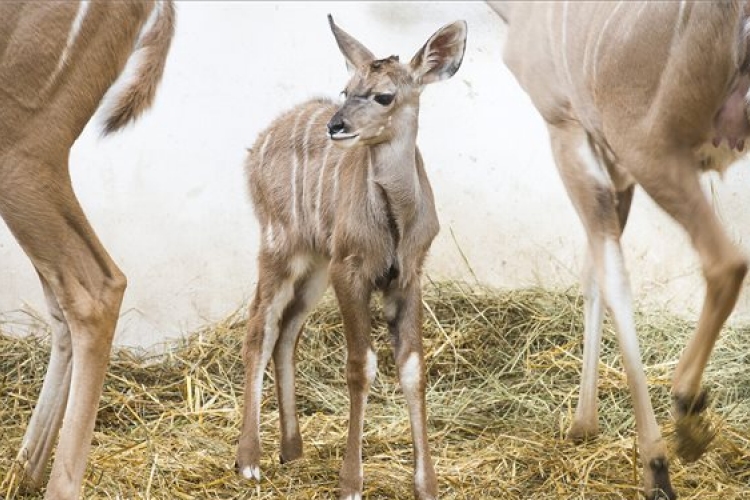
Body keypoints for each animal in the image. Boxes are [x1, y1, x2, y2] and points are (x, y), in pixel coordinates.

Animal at [238, 15, 468, 500]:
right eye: (346, 90)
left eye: (384, 95)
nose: (336, 125)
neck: (395, 221)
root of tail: (258, 145)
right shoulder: (351, 271)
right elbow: (361, 367)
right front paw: (350, 483)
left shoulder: (408, 277)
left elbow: (413, 368)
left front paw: (427, 485)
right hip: (280, 248)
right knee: (259, 329)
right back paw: (248, 461)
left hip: (314, 267)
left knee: (286, 332)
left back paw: (292, 450)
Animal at [490, 0, 750, 500]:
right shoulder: (612, 163)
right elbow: (593, 274)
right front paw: (582, 425)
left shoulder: (567, 127)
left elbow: (612, 280)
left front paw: (655, 466)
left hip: (653, 151)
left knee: (726, 263)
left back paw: (687, 409)